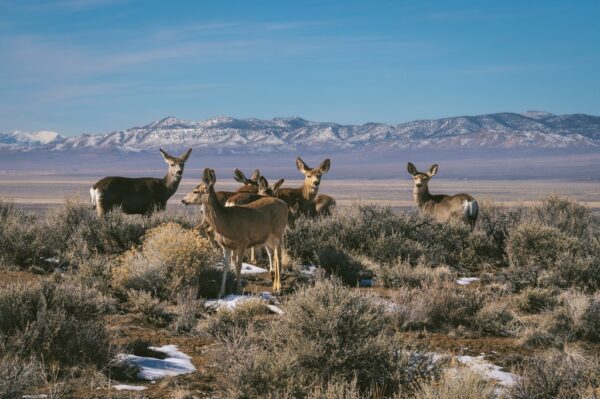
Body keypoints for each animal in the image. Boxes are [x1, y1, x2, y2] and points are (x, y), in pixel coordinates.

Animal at [180, 168, 288, 296]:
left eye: (195, 191)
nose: (183, 200)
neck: (226, 222)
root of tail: (284, 204)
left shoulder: (243, 242)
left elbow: (238, 265)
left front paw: (238, 290)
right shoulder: (225, 245)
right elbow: (225, 267)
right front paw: (221, 293)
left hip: (278, 232)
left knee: (278, 255)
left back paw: (278, 287)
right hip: (268, 238)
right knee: (275, 255)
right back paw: (274, 285)